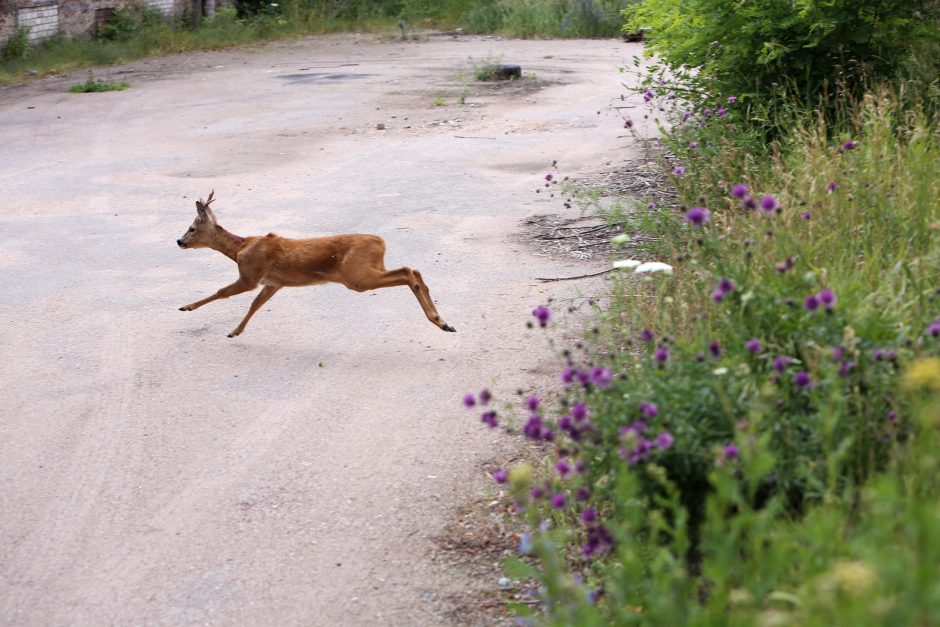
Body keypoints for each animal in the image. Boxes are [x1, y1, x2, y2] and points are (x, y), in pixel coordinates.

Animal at [178, 191, 458, 338]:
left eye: (192, 228)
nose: (179, 241)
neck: (239, 248)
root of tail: (381, 241)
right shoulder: (274, 283)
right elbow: (256, 304)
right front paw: (236, 330)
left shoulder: (250, 274)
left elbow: (222, 292)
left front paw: (187, 307)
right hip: (366, 270)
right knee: (414, 270)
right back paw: (443, 322)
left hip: (356, 276)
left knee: (407, 272)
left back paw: (438, 319)